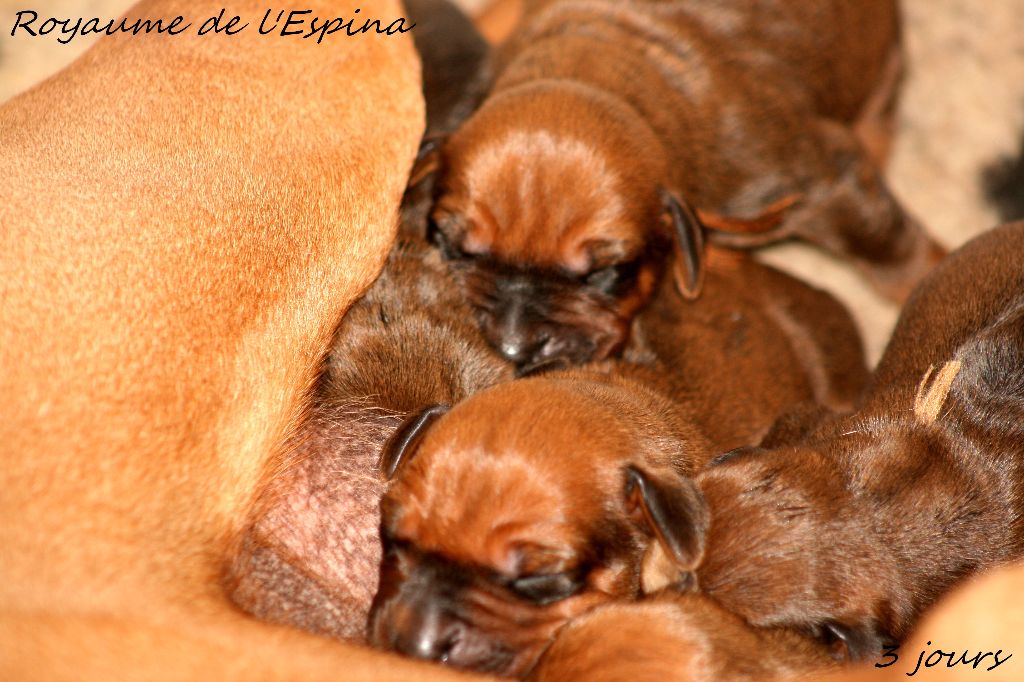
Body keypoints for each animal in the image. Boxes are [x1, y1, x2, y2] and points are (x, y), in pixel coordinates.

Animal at [419, 0, 943, 373]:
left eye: (609, 272)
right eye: (454, 247)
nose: (513, 347)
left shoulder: (823, 180)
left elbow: (889, 246)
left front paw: (929, 276)